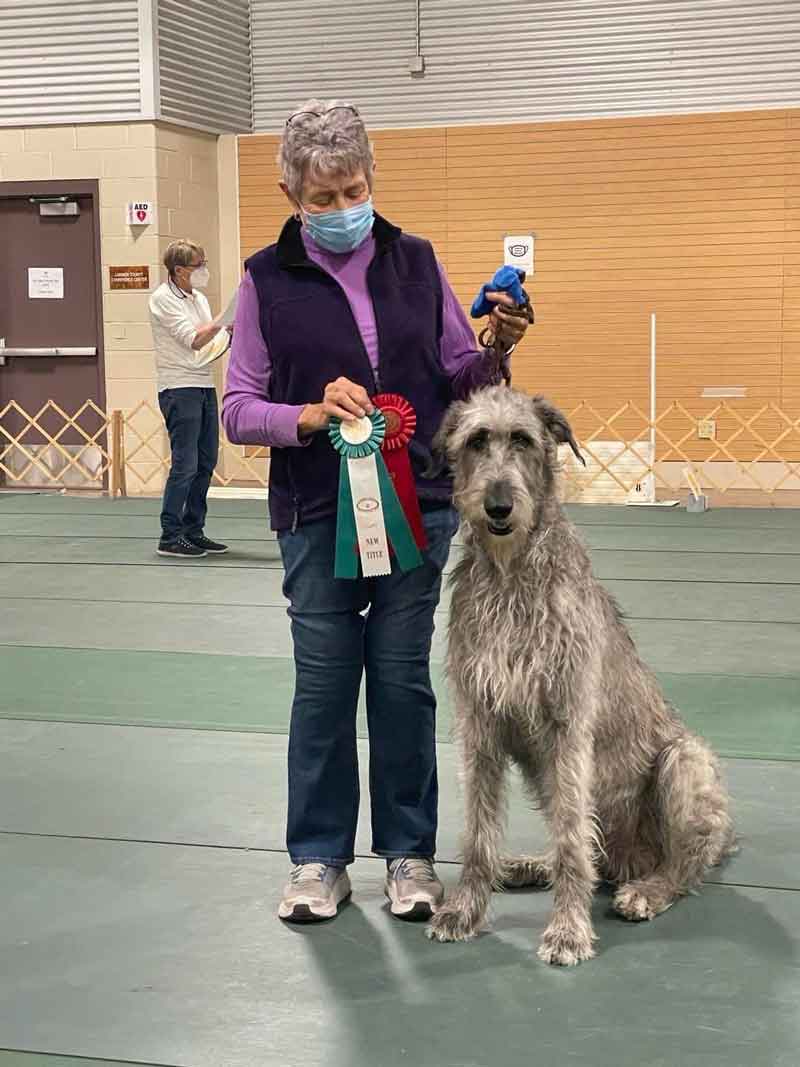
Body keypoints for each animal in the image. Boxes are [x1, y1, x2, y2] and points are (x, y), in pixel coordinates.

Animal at [428, 386, 738, 968]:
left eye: (523, 440)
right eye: (477, 440)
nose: (498, 507)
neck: (512, 573)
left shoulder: (568, 729)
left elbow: (573, 838)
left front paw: (568, 931)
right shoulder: (479, 726)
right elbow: (479, 832)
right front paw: (464, 910)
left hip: (685, 761)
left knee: (676, 867)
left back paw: (647, 890)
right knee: (593, 853)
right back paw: (530, 865)